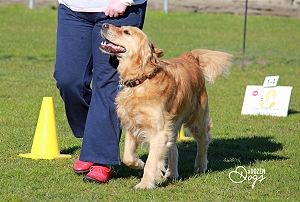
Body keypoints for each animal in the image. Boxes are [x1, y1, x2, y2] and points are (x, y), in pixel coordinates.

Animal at [99, 23, 233, 189]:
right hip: (173, 123)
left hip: (196, 119)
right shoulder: (131, 124)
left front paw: (145, 184)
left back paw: (200, 166)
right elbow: (127, 157)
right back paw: (171, 173)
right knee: (173, 147)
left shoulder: (158, 131)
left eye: (126, 32)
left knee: (204, 140)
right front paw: (139, 163)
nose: (104, 24)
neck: (141, 80)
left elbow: (151, 161)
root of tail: (189, 57)